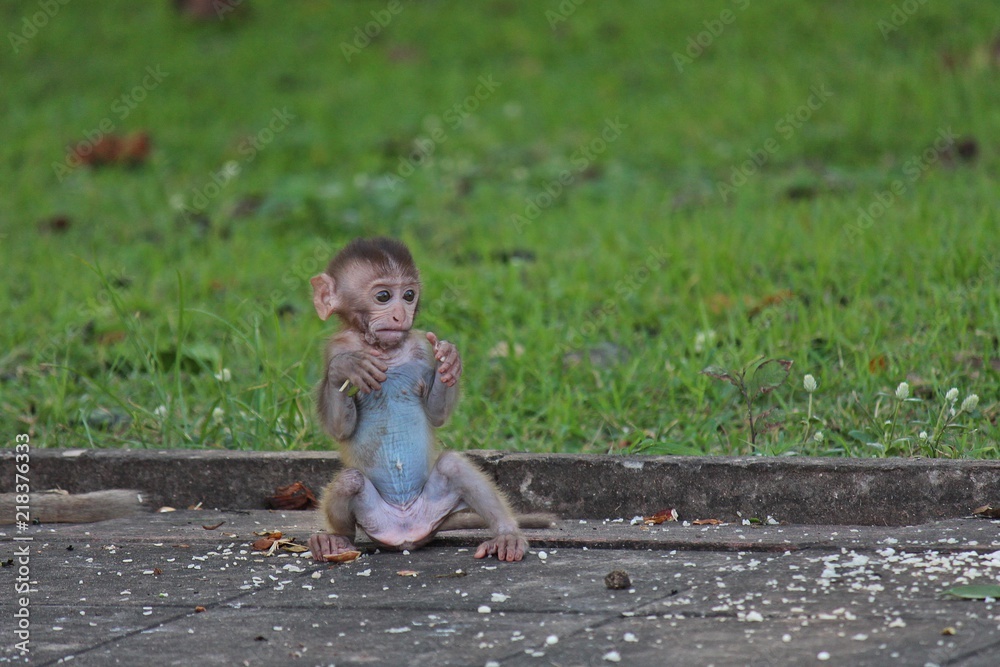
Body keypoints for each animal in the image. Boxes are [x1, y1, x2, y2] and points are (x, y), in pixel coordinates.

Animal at [307, 237, 551, 563]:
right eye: (384, 296)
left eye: (409, 295)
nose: (401, 315)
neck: (386, 350)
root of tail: (407, 531)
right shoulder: (335, 347)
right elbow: (339, 428)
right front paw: (345, 368)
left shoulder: (421, 345)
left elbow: (436, 414)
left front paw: (450, 360)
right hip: (373, 518)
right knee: (350, 482)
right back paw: (336, 540)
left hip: (433, 505)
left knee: (453, 467)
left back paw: (506, 535)